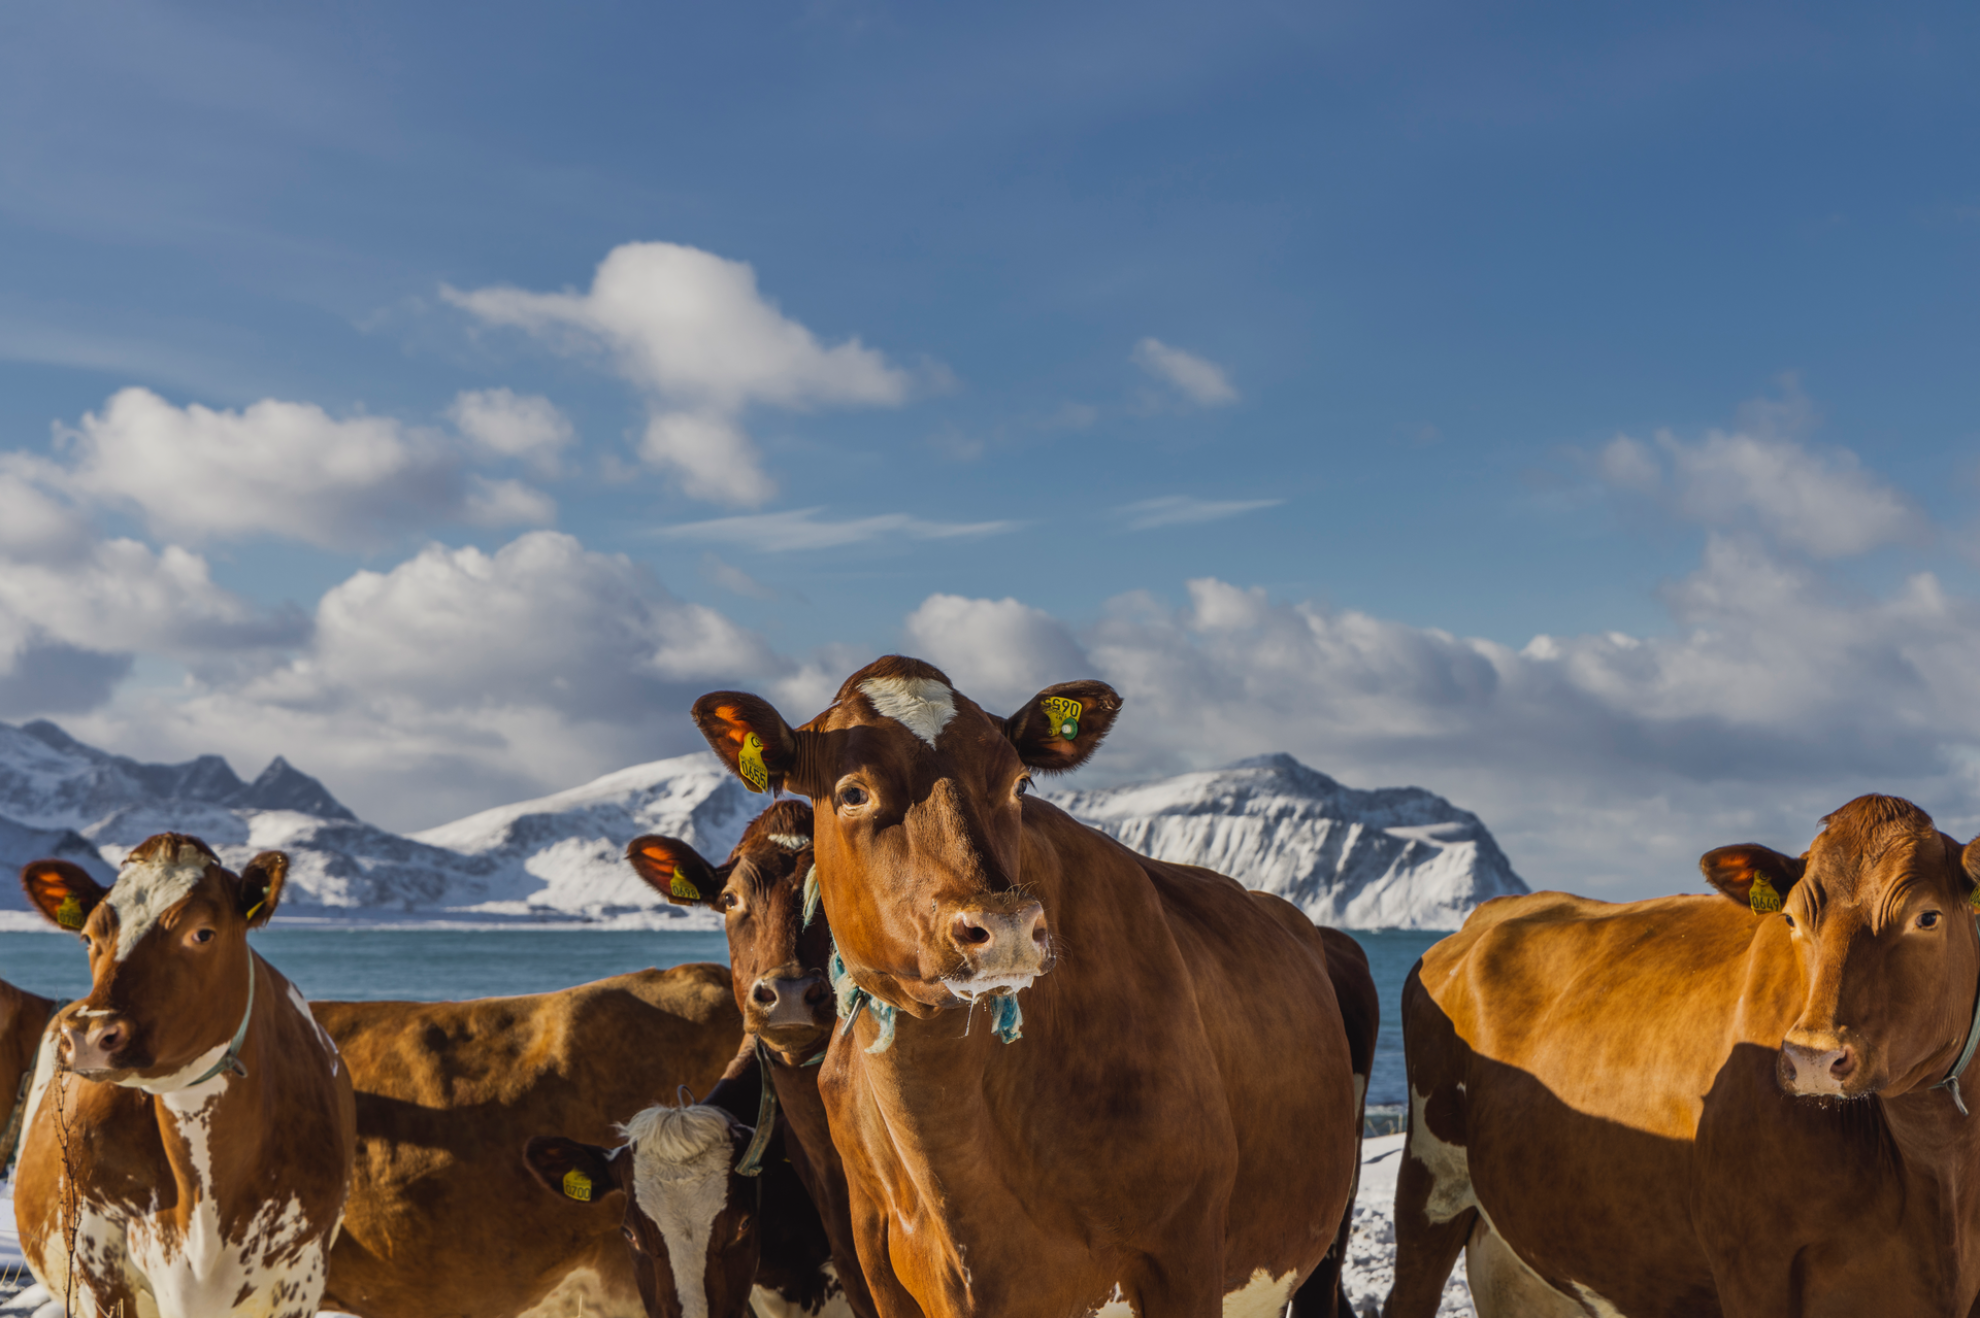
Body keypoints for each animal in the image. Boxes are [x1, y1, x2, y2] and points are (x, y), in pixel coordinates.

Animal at [1387, 794, 1980, 1318]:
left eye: (1927, 917)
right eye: (1791, 919)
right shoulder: (1752, 1266)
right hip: (1428, 1180)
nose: (1813, 1058)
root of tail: (1484, 918)